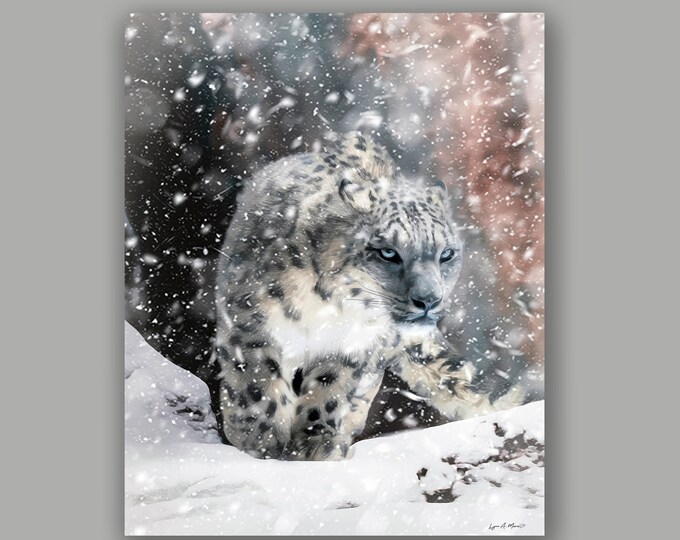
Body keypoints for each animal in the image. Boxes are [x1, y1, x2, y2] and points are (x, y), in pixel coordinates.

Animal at [210, 132, 523, 461]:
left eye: (446, 254)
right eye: (388, 252)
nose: (428, 300)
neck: (329, 305)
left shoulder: (353, 345)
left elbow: (330, 388)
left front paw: (317, 442)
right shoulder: (251, 321)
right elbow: (258, 382)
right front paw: (261, 439)